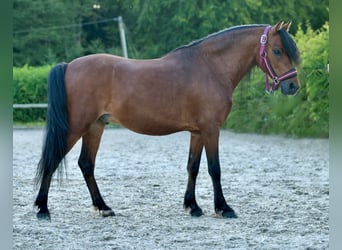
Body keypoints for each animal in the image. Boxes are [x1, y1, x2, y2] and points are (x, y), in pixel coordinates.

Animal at [34, 20, 300, 220]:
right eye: (277, 51)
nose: (292, 86)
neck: (210, 67)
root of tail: (69, 66)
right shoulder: (211, 130)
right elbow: (214, 169)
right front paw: (224, 208)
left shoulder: (197, 132)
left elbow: (193, 167)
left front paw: (192, 206)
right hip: (76, 127)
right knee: (53, 159)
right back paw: (42, 209)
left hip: (95, 127)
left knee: (86, 164)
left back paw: (103, 207)